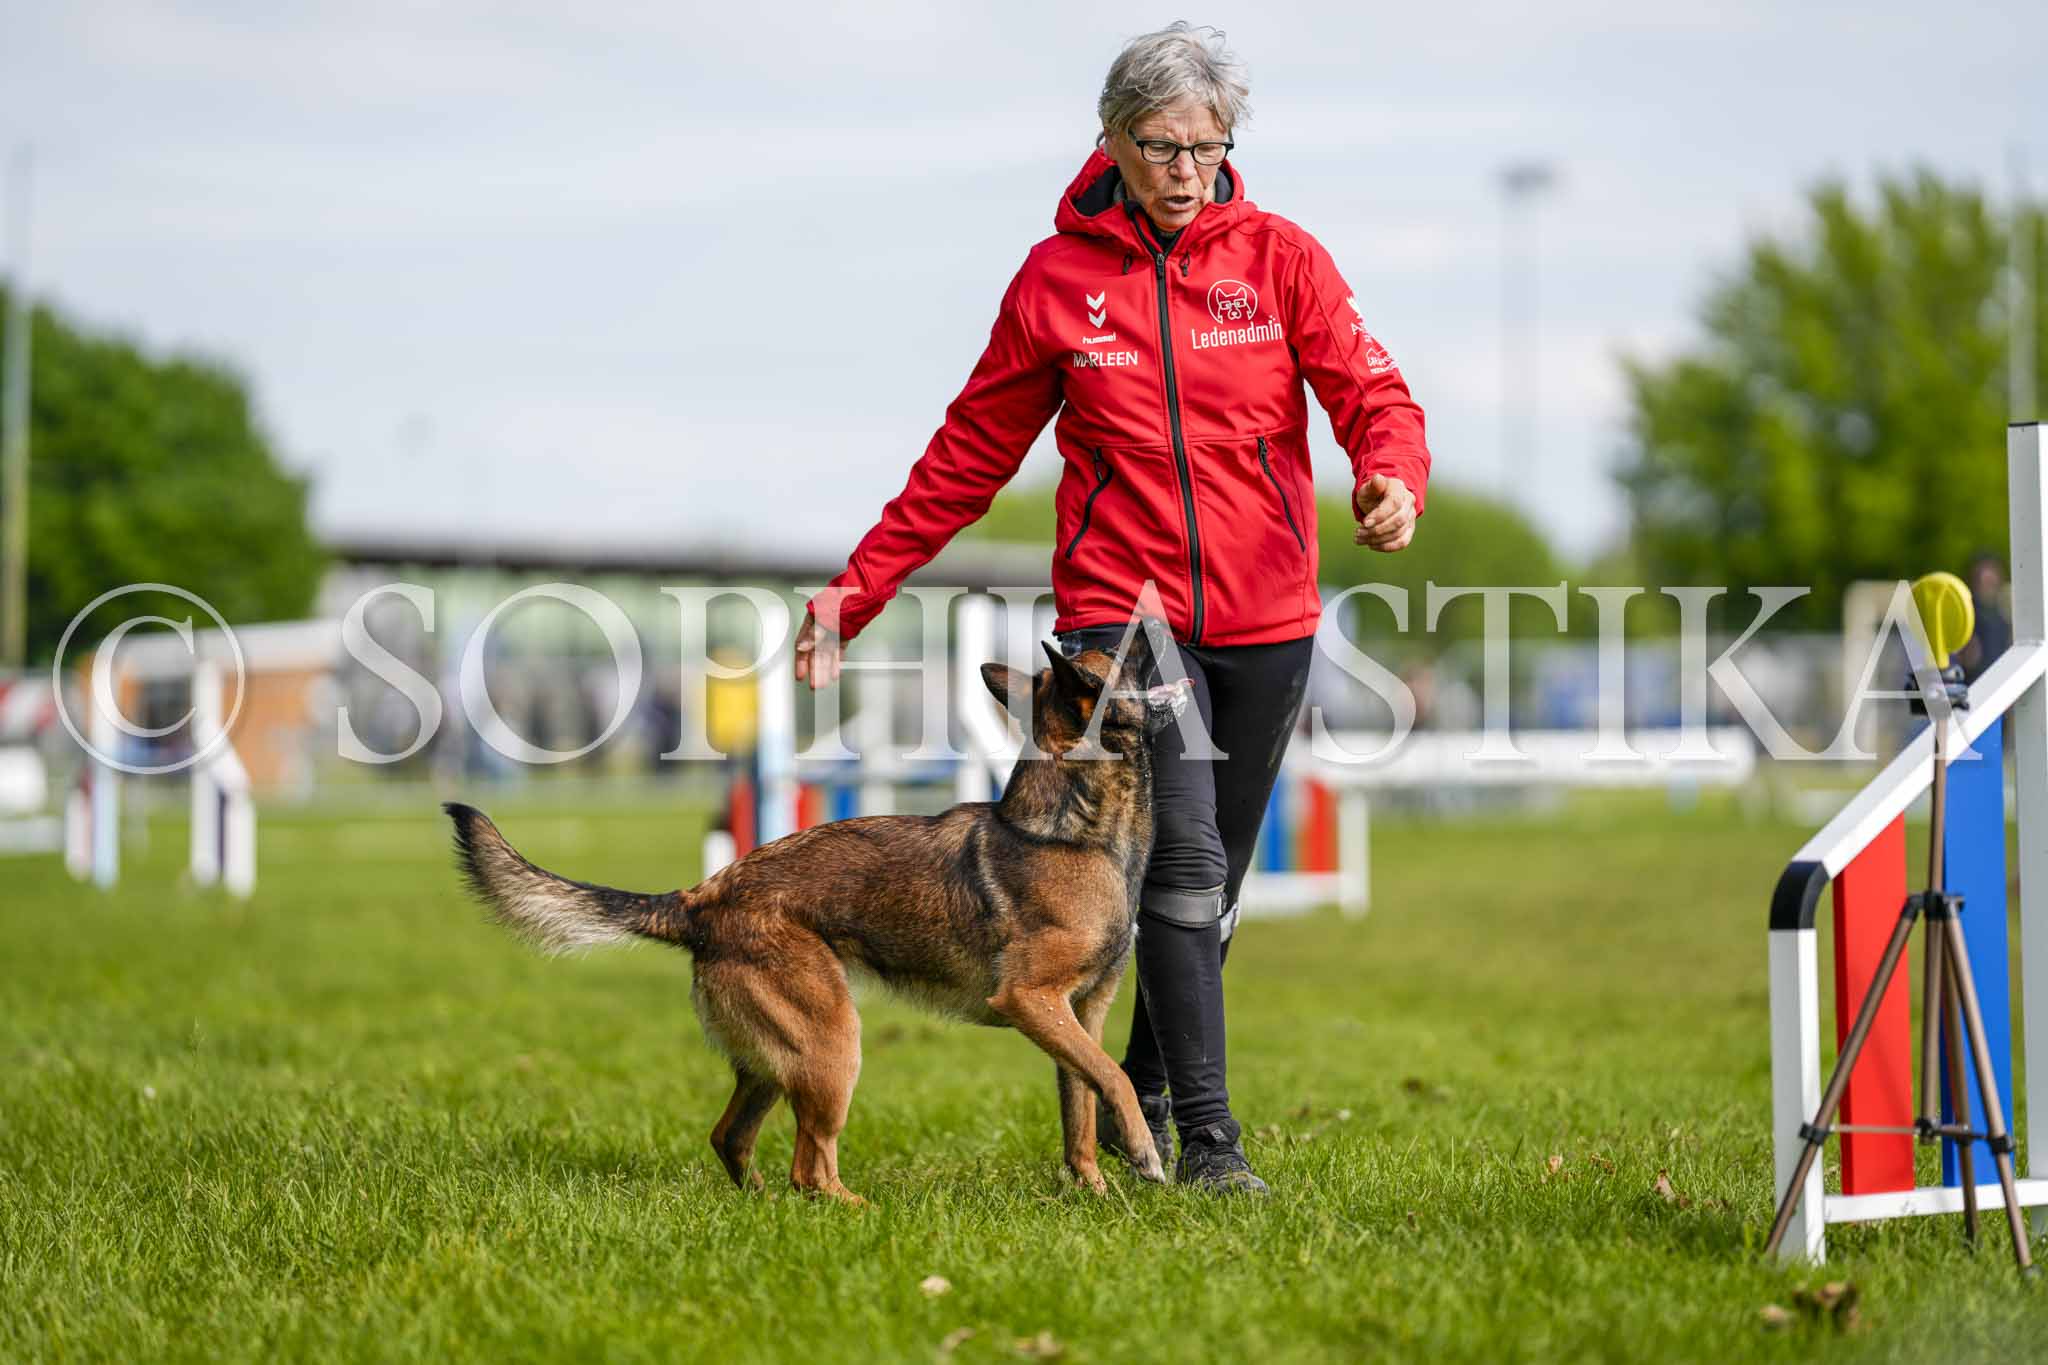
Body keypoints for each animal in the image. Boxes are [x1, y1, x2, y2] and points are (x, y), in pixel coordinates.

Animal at [444, 628, 1191, 1203]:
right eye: (1119, 658)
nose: (1155, 620)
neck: (1073, 828)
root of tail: (702, 897)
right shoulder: (1030, 1000)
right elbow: (1114, 1076)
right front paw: (1145, 1153)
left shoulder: (1080, 1011)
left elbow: (1082, 1103)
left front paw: (1096, 1188)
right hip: (834, 1043)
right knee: (809, 1166)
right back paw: (859, 1209)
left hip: (781, 1058)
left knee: (732, 1137)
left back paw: (764, 1203)